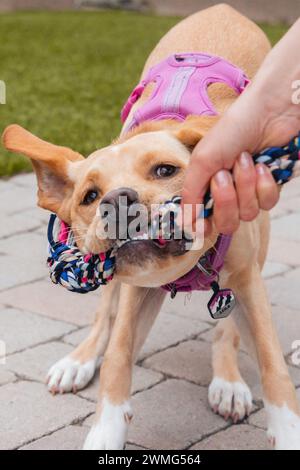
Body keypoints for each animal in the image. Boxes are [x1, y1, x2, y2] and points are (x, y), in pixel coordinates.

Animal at [2, 4, 300, 452]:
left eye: (165, 170)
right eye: (90, 195)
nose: (117, 199)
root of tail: (223, 8)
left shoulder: (247, 279)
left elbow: (268, 359)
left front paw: (286, 428)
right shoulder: (135, 288)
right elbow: (117, 355)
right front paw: (105, 431)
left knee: (229, 326)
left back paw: (228, 382)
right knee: (103, 316)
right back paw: (78, 360)